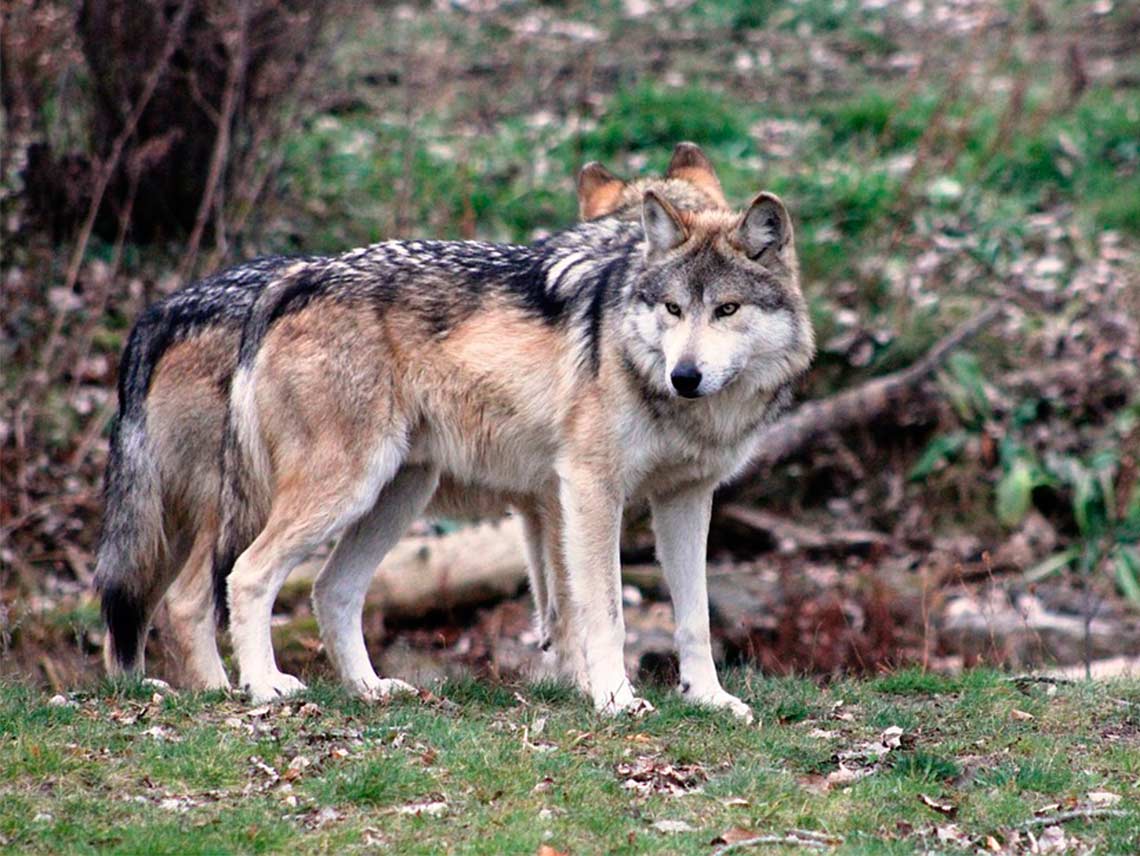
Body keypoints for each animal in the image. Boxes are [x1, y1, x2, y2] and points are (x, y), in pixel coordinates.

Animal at [91, 144, 729, 693]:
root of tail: (163, 310)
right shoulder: (570, 495)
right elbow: (578, 604)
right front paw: (588, 685)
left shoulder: (540, 503)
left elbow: (556, 605)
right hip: (271, 500)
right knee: (193, 598)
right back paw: (237, 689)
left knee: (150, 607)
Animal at [214, 168, 816, 715]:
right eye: (673, 309)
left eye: (726, 309)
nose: (684, 376)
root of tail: (296, 277)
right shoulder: (589, 488)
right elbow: (604, 612)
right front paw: (615, 698)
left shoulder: (685, 498)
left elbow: (696, 616)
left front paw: (709, 698)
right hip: (348, 490)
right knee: (248, 574)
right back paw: (263, 686)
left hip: (396, 497)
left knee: (331, 591)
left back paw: (370, 689)